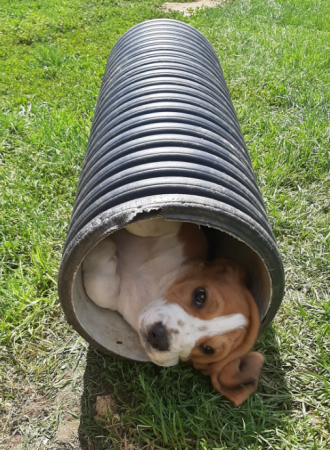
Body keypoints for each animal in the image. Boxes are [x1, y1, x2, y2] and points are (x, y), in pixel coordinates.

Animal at [84, 216, 264, 406]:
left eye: (208, 349)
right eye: (200, 295)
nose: (158, 337)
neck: (153, 292)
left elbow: (102, 292)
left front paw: (101, 249)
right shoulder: (186, 231)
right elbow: (152, 226)